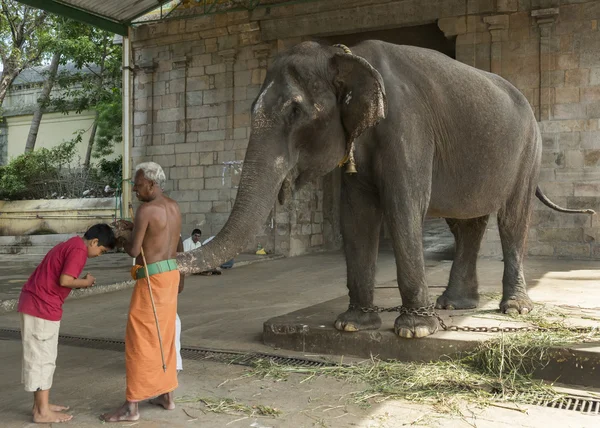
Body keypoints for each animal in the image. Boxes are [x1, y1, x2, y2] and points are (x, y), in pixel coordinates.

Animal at [176, 41, 592, 340]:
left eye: (295, 112)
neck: (346, 55)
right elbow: (357, 215)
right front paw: (351, 325)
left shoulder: (408, 126)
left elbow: (403, 207)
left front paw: (415, 331)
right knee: (466, 224)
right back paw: (454, 305)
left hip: (529, 151)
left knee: (512, 219)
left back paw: (514, 309)